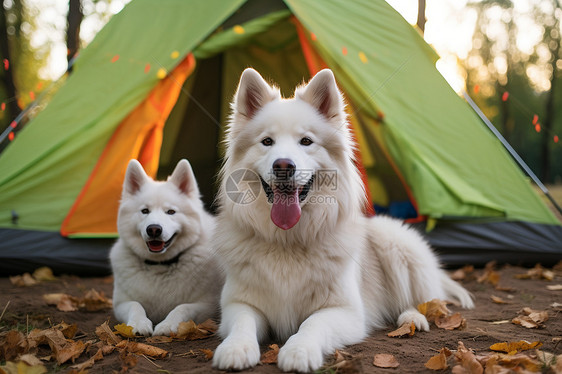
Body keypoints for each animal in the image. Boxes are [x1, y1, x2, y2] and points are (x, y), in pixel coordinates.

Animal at [109, 158, 221, 336]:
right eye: (145, 211)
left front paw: (167, 325)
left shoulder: (208, 305)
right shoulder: (120, 303)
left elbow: (182, 308)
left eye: (170, 212)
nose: (154, 229)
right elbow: (135, 305)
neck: (159, 266)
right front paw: (138, 323)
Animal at [211, 69, 472, 372]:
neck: (287, 241)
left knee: (424, 302)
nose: (284, 166)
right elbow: (242, 323)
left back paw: (411, 319)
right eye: (267, 142)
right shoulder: (237, 304)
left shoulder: (344, 311)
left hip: (394, 241)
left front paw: (299, 351)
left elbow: (312, 324)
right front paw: (235, 349)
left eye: (306, 141)